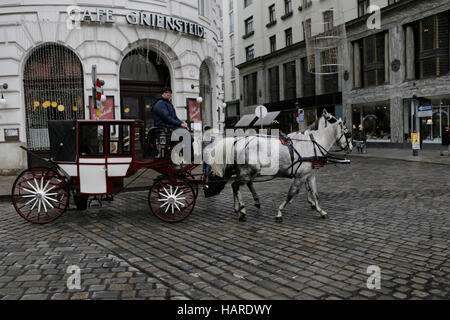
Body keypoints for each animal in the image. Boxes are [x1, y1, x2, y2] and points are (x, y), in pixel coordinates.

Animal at [207, 110, 352, 222]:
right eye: (348, 133)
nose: (350, 147)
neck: (311, 144)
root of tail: (238, 141)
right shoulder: (301, 176)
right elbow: (291, 193)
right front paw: (279, 212)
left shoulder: (310, 175)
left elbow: (315, 194)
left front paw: (320, 210)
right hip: (249, 171)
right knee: (236, 185)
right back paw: (241, 210)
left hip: (247, 171)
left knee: (240, 185)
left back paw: (241, 208)